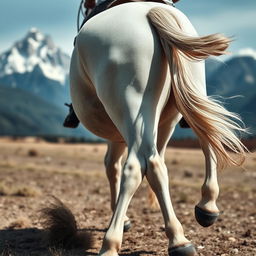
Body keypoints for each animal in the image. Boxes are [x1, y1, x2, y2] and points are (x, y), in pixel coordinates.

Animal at [69, 2, 245, 256]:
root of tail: (150, 12)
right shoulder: (147, 128)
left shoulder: (119, 134)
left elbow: (113, 166)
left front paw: (120, 221)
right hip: (183, 100)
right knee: (196, 145)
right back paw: (201, 214)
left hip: (131, 107)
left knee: (137, 166)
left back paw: (114, 243)